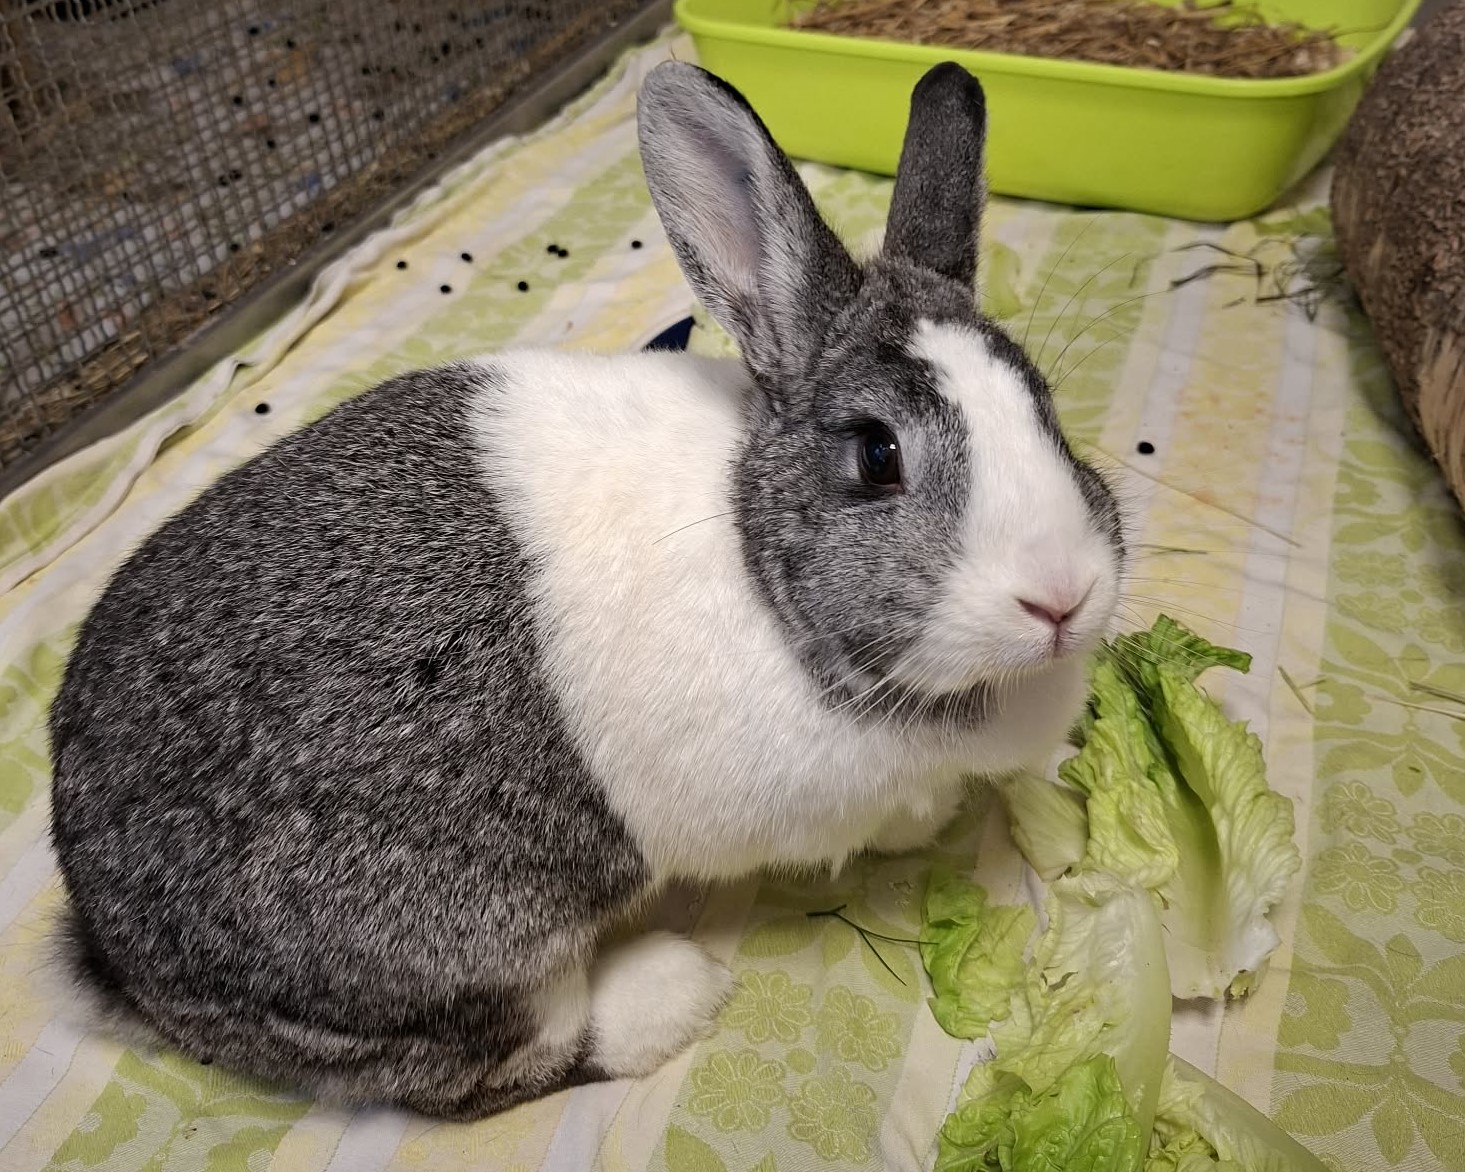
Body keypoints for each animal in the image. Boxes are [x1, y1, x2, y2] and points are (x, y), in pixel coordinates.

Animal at [46, 59, 1126, 1120]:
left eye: (1045, 407)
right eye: (876, 454)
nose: (1061, 595)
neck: (759, 568)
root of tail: (112, 952)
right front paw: (925, 824)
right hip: (460, 953)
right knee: (491, 1073)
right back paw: (670, 993)